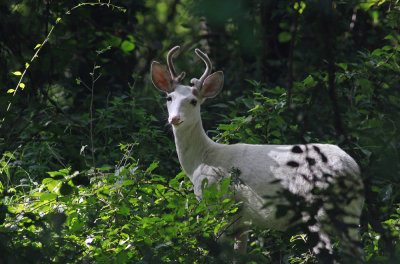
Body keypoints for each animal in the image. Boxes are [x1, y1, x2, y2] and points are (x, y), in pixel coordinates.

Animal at [151, 46, 366, 262]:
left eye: (194, 101)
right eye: (169, 98)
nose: (174, 118)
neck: (201, 160)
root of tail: (348, 169)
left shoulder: (219, 204)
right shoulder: (242, 220)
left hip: (313, 208)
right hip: (352, 212)